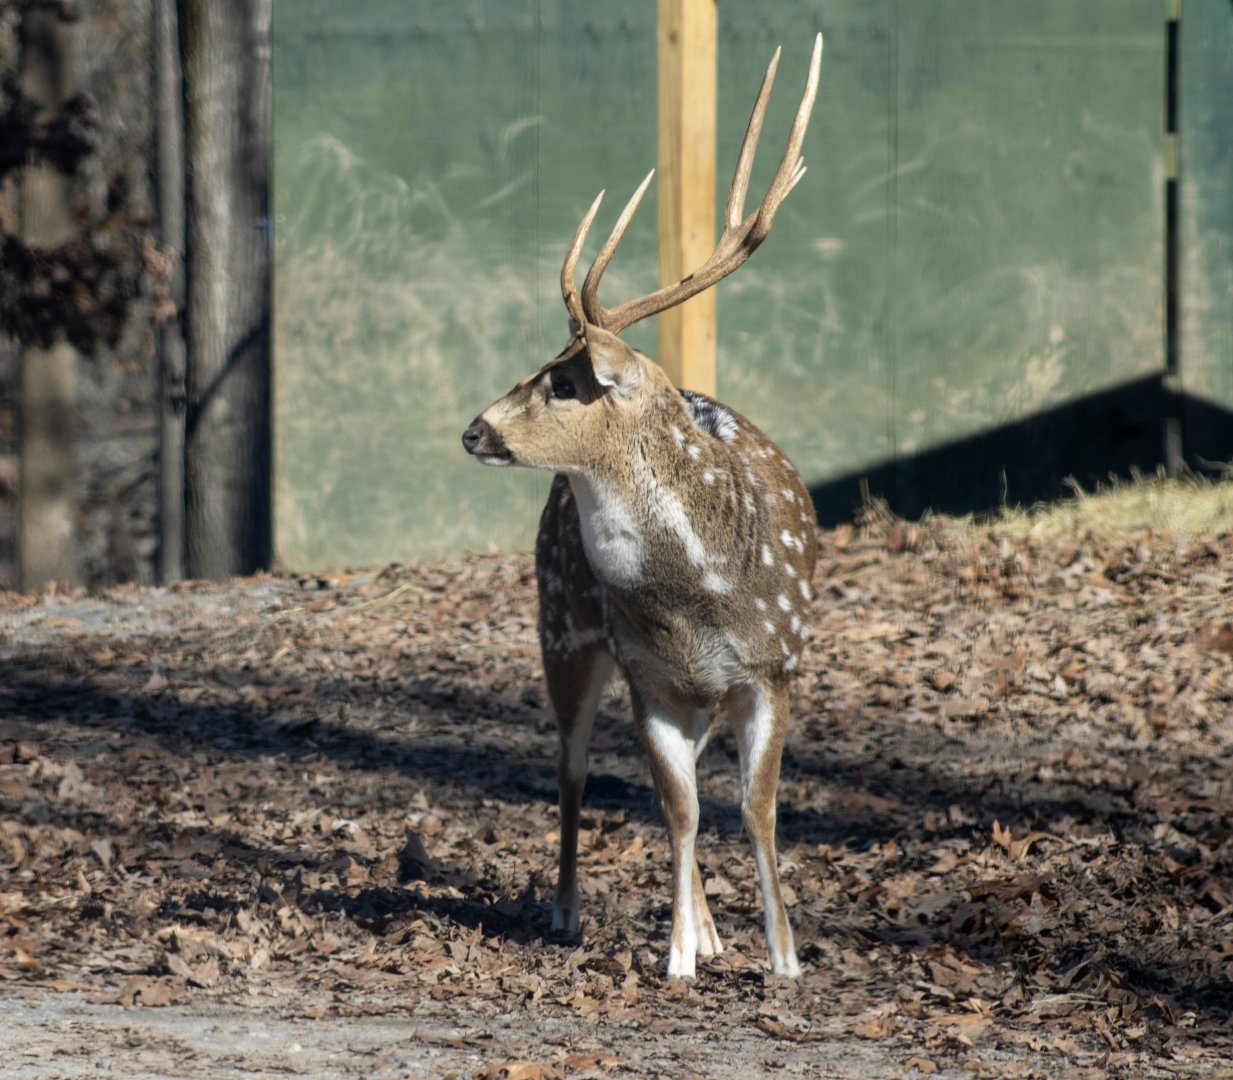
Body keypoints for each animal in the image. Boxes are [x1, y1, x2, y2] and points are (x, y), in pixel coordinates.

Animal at [461, 33, 823, 980]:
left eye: (562, 380)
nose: (473, 429)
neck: (696, 596)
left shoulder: (772, 667)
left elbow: (753, 809)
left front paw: (781, 957)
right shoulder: (647, 673)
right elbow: (680, 810)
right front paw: (676, 961)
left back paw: (715, 929)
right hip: (563, 628)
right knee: (571, 769)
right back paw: (566, 912)